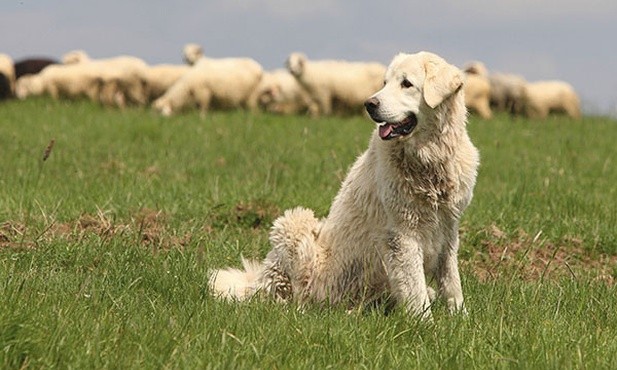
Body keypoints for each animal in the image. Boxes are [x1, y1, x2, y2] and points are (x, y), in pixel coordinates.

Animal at [212, 50, 482, 320]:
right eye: (385, 83)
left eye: (406, 83)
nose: (369, 104)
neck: (430, 158)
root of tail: (258, 279)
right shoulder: (403, 234)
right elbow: (416, 289)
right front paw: (426, 324)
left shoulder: (448, 227)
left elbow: (451, 282)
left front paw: (461, 318)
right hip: (297, 226)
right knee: (293, 295)